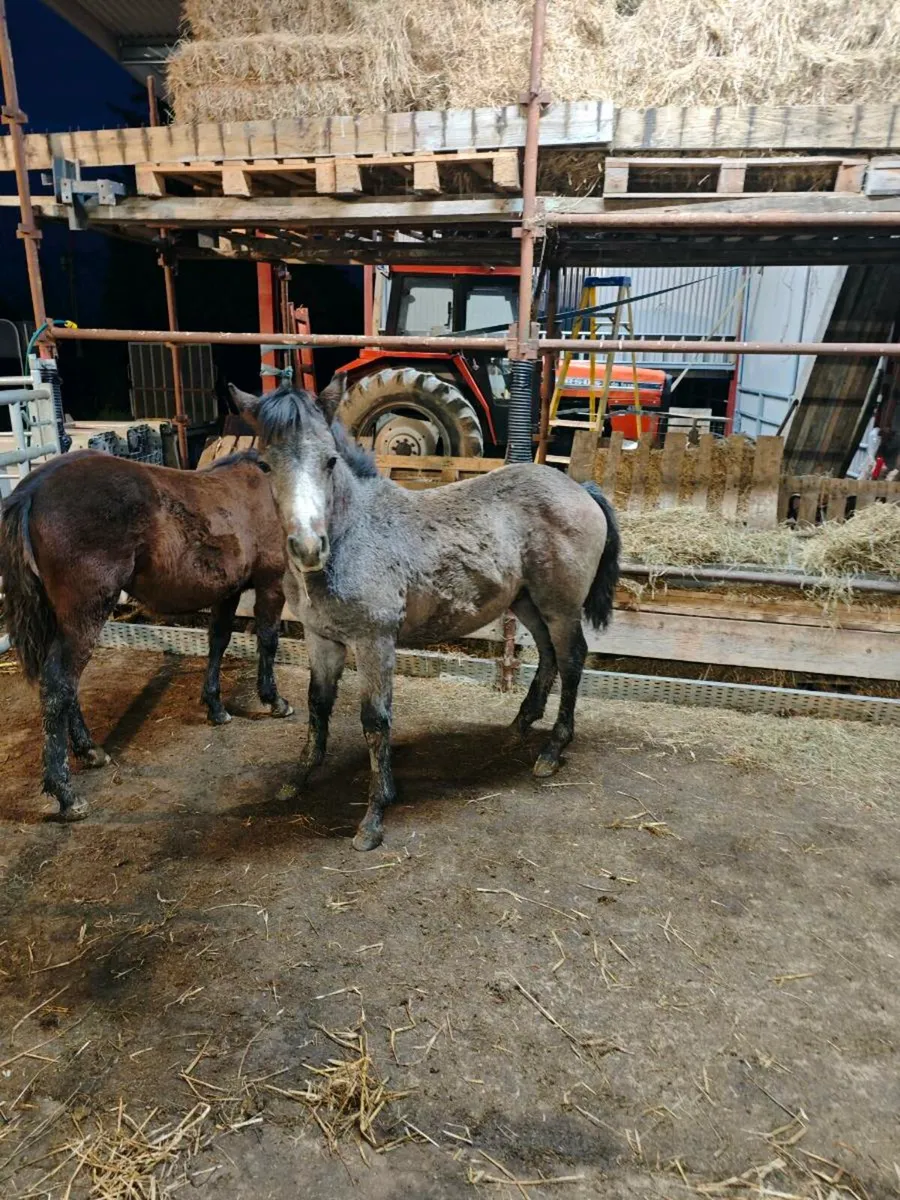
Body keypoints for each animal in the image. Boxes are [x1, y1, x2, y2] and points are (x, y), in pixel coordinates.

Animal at [0, 448, 293, 821]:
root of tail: (33, 488)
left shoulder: (229, 591)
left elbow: (218, 642)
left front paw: (215, 706)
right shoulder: (271, 582)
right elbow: (268, 641)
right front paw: (274, 700)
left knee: (67, 687)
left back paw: (89, 751)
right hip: (85, 615)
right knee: (58, 685)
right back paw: (66, 794)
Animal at [228, 381, 621, 852]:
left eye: (330, 460)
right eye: (266, 464)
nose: (308, 547)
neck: (354, 534)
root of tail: (580, 488)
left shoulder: (375, 642)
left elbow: (375, 720)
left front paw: (374, 815)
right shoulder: (321, 639)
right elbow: (317, 705)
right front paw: (299, 777)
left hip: (560, 607)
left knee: (572, 660)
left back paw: (552, 750)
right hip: (527, 602)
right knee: (547, 656)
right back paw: (520, 725)